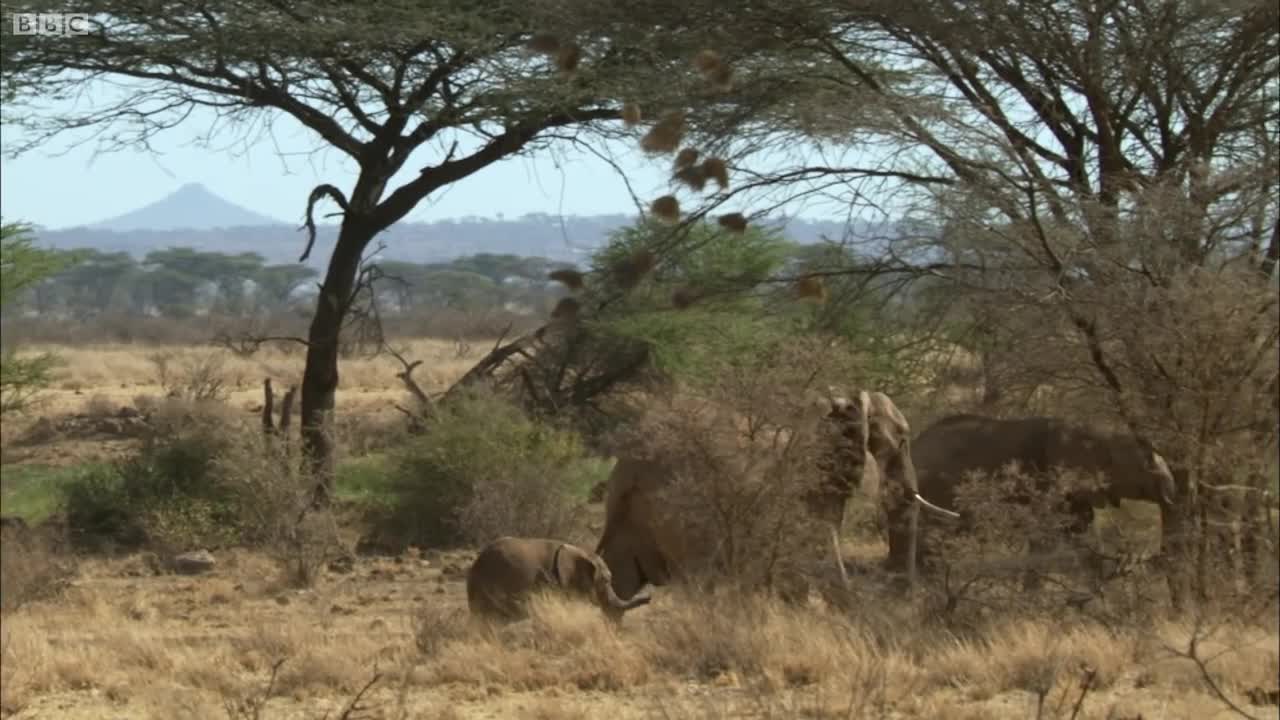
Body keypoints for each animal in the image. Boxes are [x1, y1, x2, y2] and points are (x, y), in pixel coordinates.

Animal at [885, 412, 1172, 573]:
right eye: (1146, 464)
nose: (1171, 494)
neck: (1096, 434)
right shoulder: (1047, 478)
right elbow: (1045, 536)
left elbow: (1084, 533)